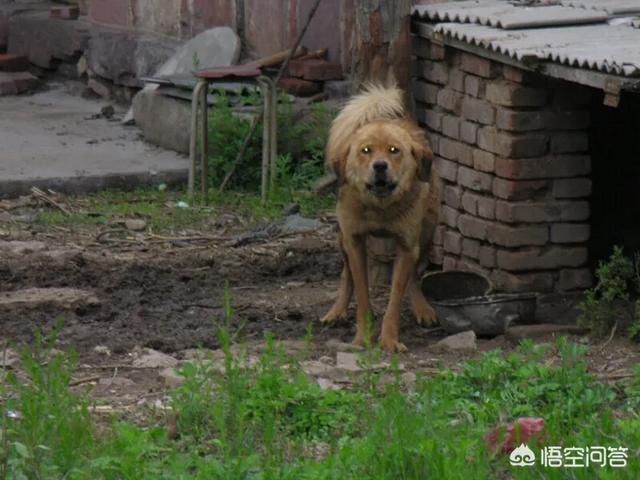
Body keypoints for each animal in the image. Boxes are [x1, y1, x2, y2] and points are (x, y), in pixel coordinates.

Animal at [320, 84, 440, 350]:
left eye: (394, 151)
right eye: (366, 151)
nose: (380, 166)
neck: (380, 208)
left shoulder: (406, 245)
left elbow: (395, 297)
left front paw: (389, 340)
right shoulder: (354, 241)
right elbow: (362, 293)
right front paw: (363, 337)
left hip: (426, 233)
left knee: (414, 275)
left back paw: (422, 308)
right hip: (343, 239)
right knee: (346, 274)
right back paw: (336, 311)